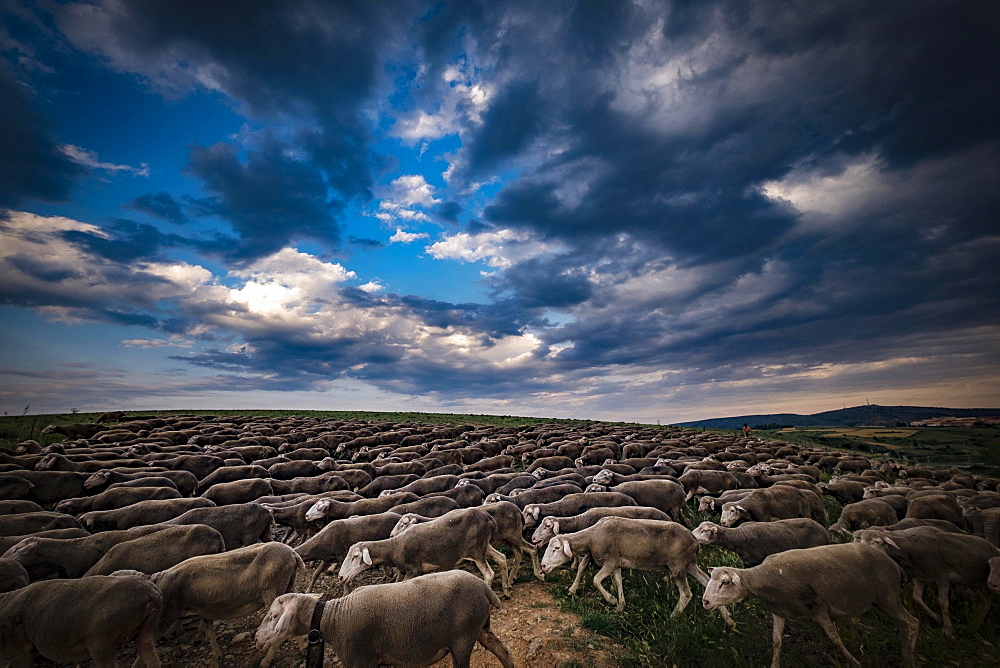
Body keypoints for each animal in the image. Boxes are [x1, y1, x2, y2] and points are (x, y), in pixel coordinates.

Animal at [148, 544, 302, 668]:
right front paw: (217, 658)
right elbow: (209, 633)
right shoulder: (205, 611)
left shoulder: (165, 617)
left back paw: (267, 660)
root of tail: (293, 554)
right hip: (287, 586)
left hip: (273, 591)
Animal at [254, 568, 512, 668]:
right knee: (504, 652)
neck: (333, 619)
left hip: (462, 637)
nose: (257, 639)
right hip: (480, 628)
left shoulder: (361, 659)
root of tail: (484, 588)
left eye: (274, 615)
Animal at [700, 544, 916, 668]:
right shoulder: (778, 611)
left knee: (911, 624)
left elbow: (835, 639)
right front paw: (774, 665)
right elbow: (776, 641)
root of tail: (893, 563)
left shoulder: (818, 609)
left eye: (725, 582)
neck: (767, 578)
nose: (705, 601)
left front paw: (854, 662)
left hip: (888, 597)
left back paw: (907, 661)